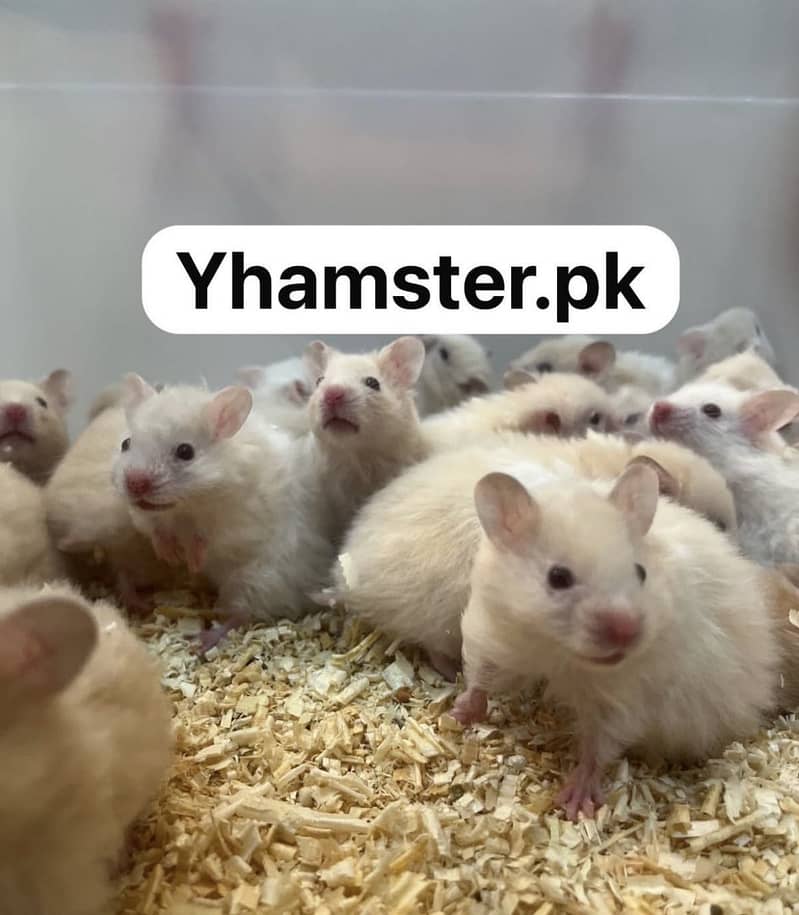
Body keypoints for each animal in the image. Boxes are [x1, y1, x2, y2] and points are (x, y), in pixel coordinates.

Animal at [113, 377, 335, 649]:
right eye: (126, 443)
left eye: (185, 451)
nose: (134, 483)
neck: (186, 508)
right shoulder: (149, 518)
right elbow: (158, 532)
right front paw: (171, 556)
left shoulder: (236, 524)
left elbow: (203, 539)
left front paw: (192, 561)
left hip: (256, 582)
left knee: (241, 615)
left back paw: (203, 640)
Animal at [452, 463, 777, 820]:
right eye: (557, 577)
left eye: (641, 572)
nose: (627, 630)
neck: (559, 652)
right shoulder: (494, 634)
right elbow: (480, 679)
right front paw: (457, 716)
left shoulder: (621, 699)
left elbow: (598, 748)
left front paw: (576, 805)